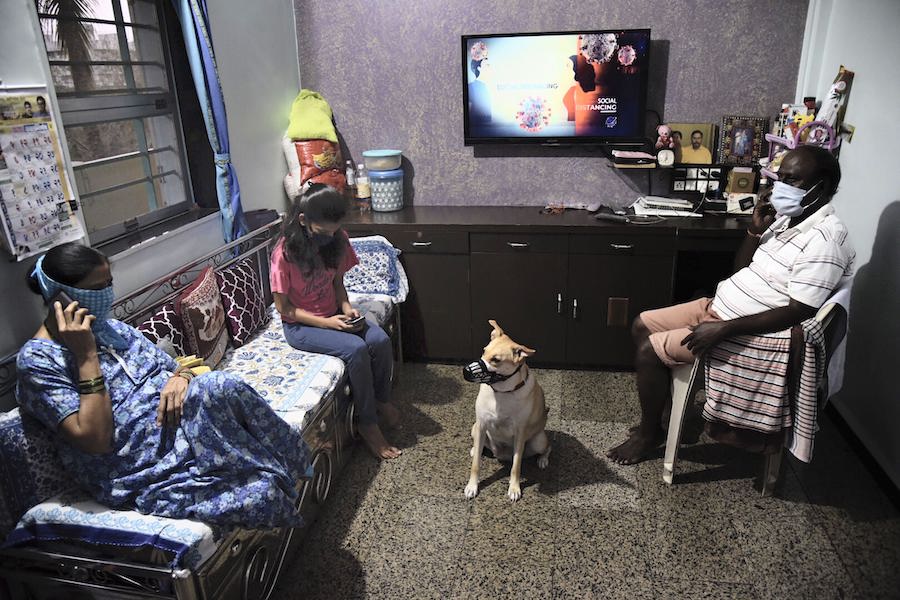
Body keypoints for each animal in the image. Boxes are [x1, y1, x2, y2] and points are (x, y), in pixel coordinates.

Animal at [464, 318, 548, 502]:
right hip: (474, 428)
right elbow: (475, 465)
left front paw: (514, 488)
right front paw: (472, 486)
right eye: (484, 351)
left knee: (547, 447)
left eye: (496, 359)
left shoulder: (520, 433)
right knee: (479, 446)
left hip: (538, 441)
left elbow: (516, 466)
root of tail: (502, 455)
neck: (502, 392)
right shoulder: (481, 425)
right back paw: (475, 449)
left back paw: (543, 459)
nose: (465, 371)